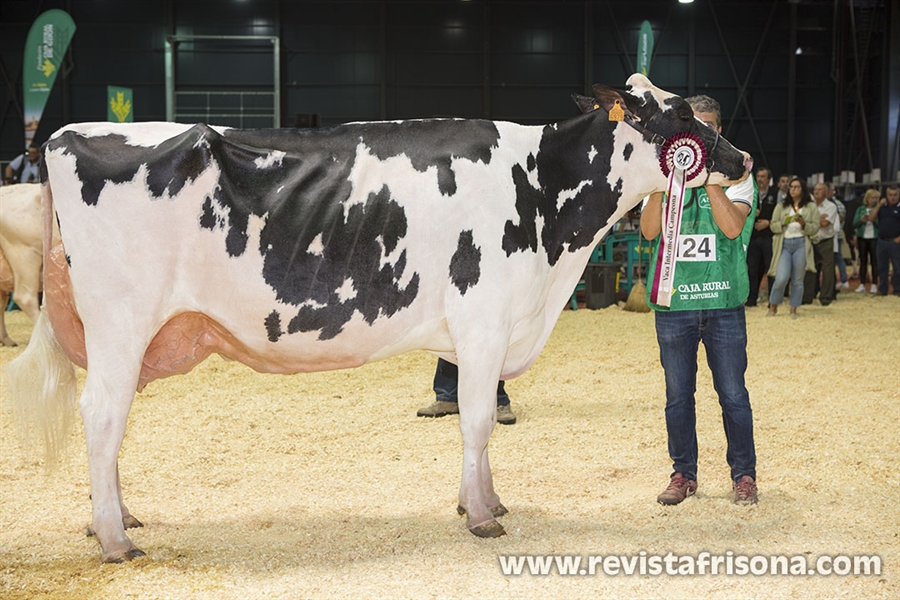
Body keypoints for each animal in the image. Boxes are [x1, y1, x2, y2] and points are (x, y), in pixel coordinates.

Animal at [7, 74, 752, 564]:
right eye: (680, 115)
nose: (743, 157)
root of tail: (63, 137)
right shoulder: (483, 320)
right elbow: (477, 420)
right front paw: (480, 517)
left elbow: (479, 421)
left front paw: (486, 501)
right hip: (121, 321)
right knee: (103, 414)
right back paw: (114, 538)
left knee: (109, 422)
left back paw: (117, 518)